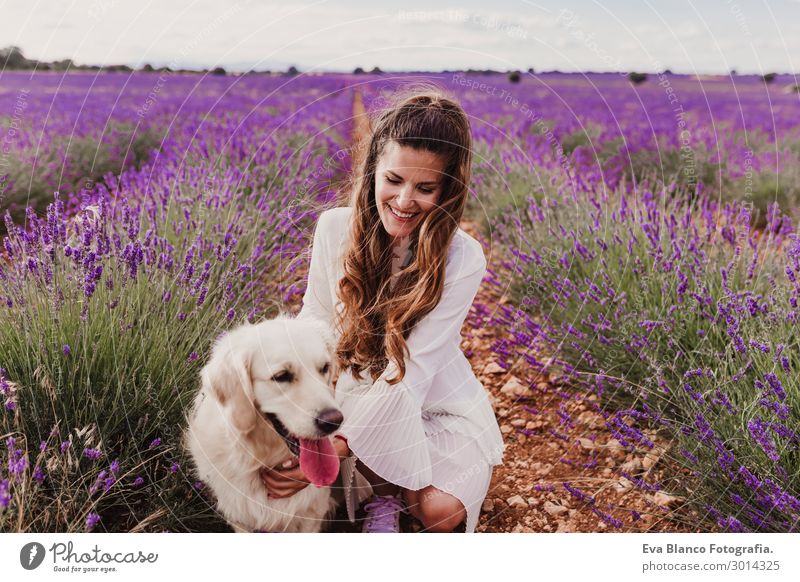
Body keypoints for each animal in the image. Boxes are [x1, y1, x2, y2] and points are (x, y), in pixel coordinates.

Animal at [186, 318, 346, 536]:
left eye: (324, 368)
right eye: (282, 376)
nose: (333, 421)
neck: (263, 460)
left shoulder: (312, 515)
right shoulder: (240, 519)